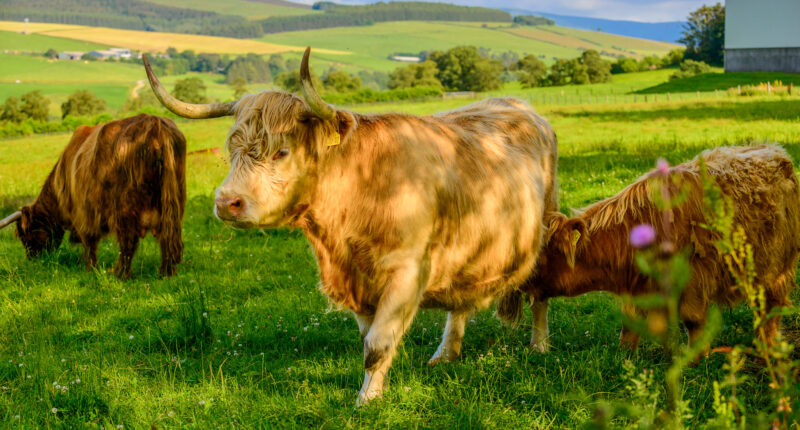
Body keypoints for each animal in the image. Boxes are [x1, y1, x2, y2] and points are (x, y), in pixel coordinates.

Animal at [0, 112, 186, 278]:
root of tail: (155, 124)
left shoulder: (83, 215)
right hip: (172, 207)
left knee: (128, 242)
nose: (32, 258)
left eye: (26, 234)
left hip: (125, 210)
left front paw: (91, 269)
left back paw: (120, 274)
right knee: (167, 239)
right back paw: (166, 273)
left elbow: (89, 244)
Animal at [142, 48, 556, 404]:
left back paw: (539, 345)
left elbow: (377, 345)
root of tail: (515, 105)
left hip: (547, 229)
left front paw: (367, 400)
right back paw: (446, 353)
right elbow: (368, 340)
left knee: (540, 296)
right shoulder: (356, 280)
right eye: (232, 151)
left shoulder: (407, 272)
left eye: (281, 151)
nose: (226, 202)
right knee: (461, 305)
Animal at [520, 144, 800, 352]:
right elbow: (630, 325)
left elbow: (693, 321)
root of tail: (776, 151)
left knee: (771, 309)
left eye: (541, 257)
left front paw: (696, 360)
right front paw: (623, 356)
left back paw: (768, 345)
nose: (521, 284)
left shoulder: (694, 280)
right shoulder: (637, 287)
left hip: (777, 269)